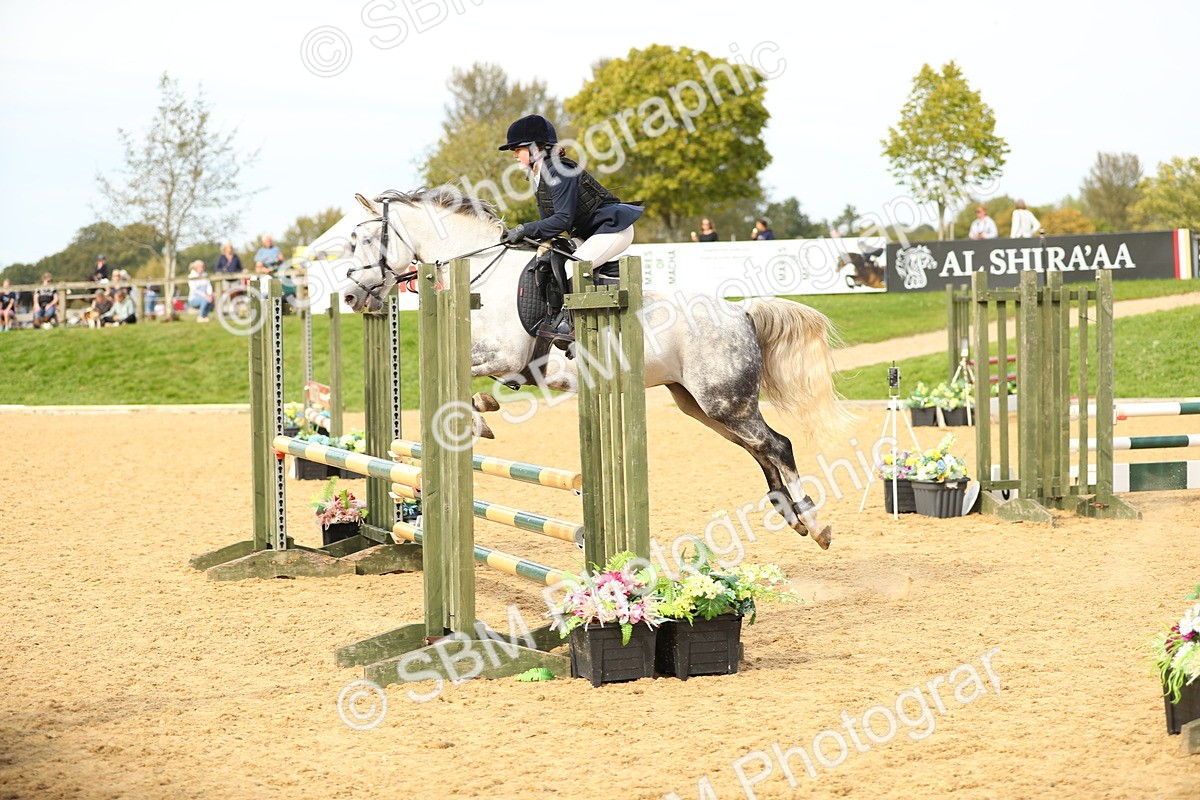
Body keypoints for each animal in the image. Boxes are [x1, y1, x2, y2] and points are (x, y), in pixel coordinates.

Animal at [343, 188, 849, 550]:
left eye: (365, 240)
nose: (350, 296)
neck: (482, 272)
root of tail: (741, 311)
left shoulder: (503, 357)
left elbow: (469, 381)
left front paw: (481, 416)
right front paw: (480, 414)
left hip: (724, 401)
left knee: (777, 445)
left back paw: (816, 524)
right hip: (701, 405)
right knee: (759, 448)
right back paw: (792, 516)